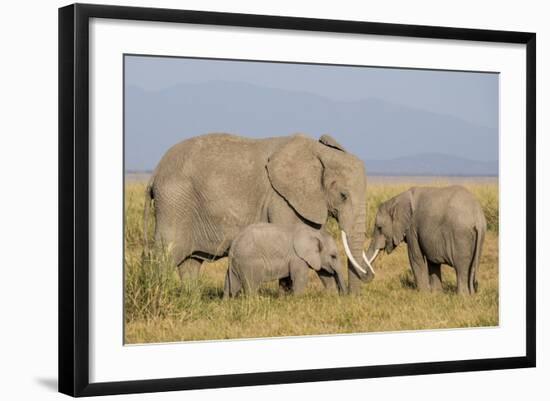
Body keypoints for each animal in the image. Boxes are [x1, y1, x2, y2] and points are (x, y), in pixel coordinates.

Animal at [144, 133, 378, 292]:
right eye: (343, 196)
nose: (349, 297)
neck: (318, 152)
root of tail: (155, 172)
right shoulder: (281, 199)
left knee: (190, 262)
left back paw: (192, 297)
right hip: (174, 203)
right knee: (166, 255)